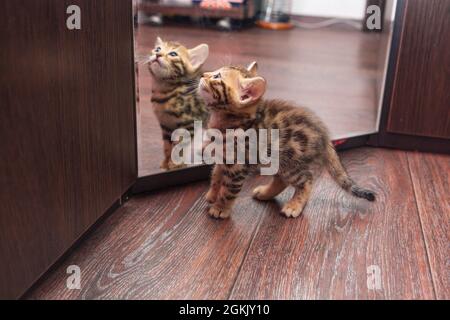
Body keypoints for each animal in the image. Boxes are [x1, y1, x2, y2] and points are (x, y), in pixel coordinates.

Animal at [149, 37, 210, 170]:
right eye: (158, 49)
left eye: (173, 54)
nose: (157, 54)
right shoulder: (166, 125)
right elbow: (167, 147)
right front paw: (166, 163)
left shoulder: (189, 124)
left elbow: (179, 146)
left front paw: (175, 164)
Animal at [198, 61, 376, 219]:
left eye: (217, 76)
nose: (202, 74)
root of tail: (324, 135)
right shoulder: (221, 158)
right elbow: (216, 176)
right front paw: (212, 195)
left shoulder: (238, 167)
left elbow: (228, 190)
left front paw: (221, 208)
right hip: (276, 161)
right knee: (281, 180)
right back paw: (265, 193)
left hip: (290, 163)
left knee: (306, 180)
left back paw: (294, 205)